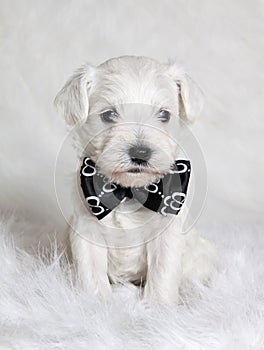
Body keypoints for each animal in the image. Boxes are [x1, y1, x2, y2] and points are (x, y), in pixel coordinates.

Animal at [54, 56, 217, 304]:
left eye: (164, 115)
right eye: (108, 115)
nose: (140, 153)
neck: (129, 192)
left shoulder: (166, 234)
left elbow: (162, 273)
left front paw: (159, 307)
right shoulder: (87, 230)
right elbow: (91, 273)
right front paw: (94, 304)